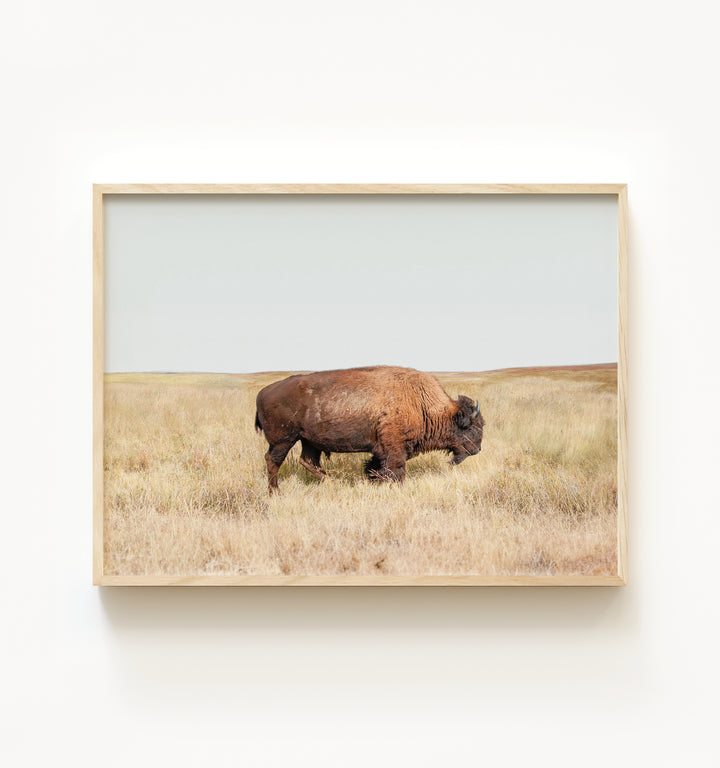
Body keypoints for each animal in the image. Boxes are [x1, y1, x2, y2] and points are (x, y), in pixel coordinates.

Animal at [254, 366, 484, 491]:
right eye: (471, 428)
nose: (477, 450)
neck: (421, 402)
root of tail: (263, 392)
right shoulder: (394, 448)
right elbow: (396, 470)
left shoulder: (380, 450)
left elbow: (374, 468)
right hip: (283, 440)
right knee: (273, 461)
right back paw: (275, 492)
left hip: (309, 441)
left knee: (308, 461)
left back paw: (333, 482)